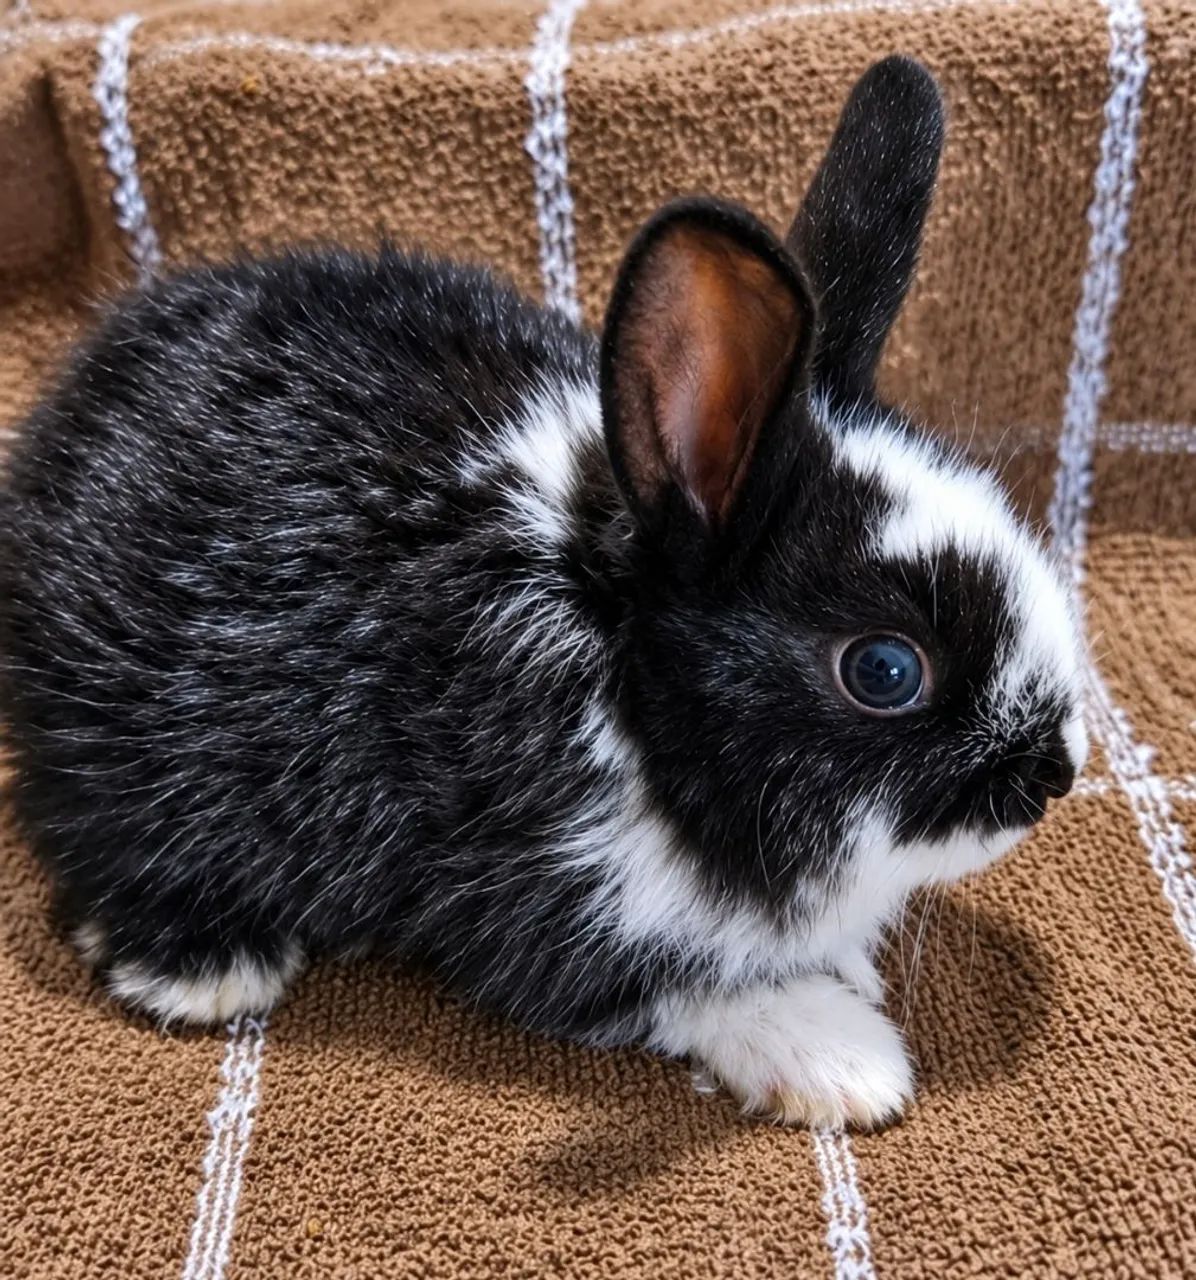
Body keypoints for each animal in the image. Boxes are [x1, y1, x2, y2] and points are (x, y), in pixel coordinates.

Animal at [0, 55, 1086, 1129]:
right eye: (885, 669)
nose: (1053, 777)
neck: (622, 665)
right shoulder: (540, 892)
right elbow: (677, 986)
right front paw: (839, 1055)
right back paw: (203, 968)